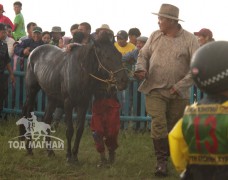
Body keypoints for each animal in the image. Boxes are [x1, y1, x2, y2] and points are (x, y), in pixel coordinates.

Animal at [21, 33, 128, 162]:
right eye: (107, 57)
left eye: (119, 54)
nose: (124, 80)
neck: (80, 71)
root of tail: (33, 52)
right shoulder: (68, 103)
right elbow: (70, 130)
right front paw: (68, 156)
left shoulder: (83, 104)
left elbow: (79, 129)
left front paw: (75, 156)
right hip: (31, 91)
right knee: (28, 114)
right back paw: (29, 148)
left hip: (52, 98)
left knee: (47, 119)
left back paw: (50, 151)